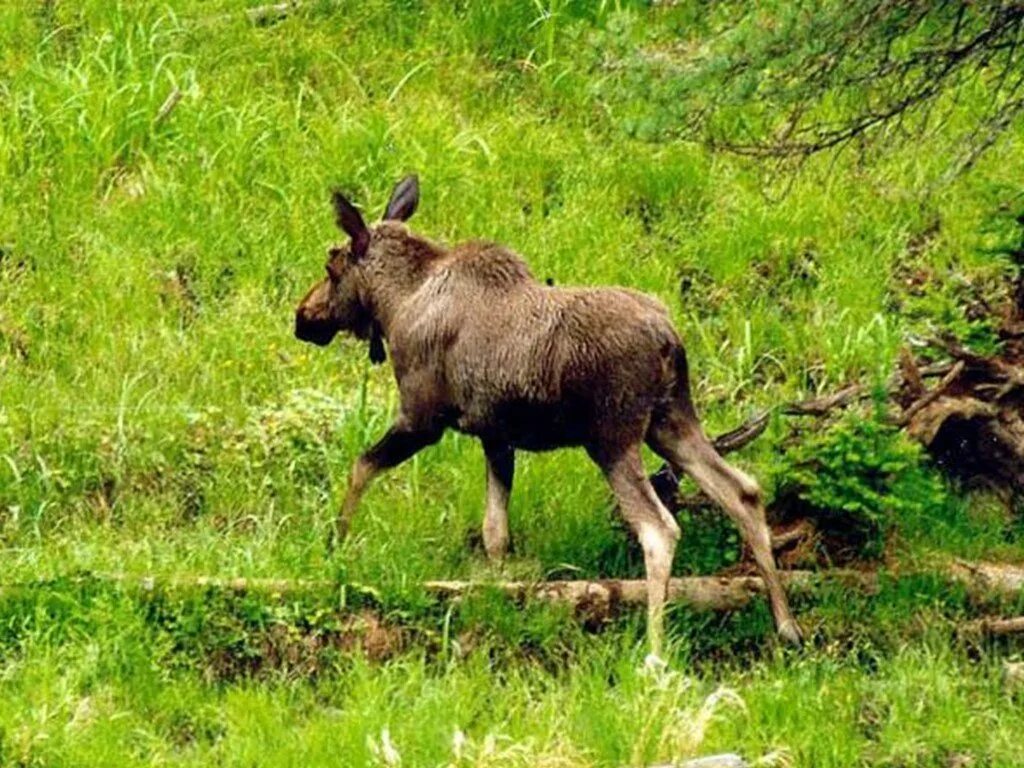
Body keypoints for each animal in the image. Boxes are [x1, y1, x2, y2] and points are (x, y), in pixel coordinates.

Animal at [296, 176, 798, 655]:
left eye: (331, 266)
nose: (302, 317)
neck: (396, 304)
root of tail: (668, 338)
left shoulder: (423, 418)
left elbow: (361, 466)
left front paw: (335, 543)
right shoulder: (495, 437)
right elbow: (495, 531)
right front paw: (504, 596)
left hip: (613, 437)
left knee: (660, 528)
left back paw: (655, 651)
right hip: (671, 421)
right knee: (743, 491)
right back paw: (786, 625)